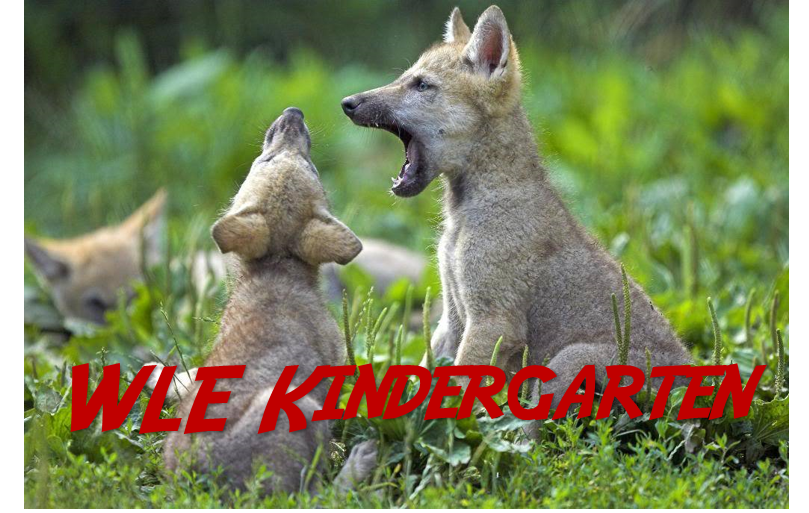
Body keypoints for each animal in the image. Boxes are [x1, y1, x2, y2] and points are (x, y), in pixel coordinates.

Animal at [160, 107, 376, 494]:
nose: (294, 113)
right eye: (266, 160)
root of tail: (199, 483)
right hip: (300, 411)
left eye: (308, 165)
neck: (277, 266)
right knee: (317, 494)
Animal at [342, 6, 690, 404]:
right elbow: (430, 372)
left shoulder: (493, 321)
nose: (347, 103)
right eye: (405, 77)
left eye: (422, 85)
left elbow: (459, 388)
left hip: (569, 359)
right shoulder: (452, 317)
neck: (464, 215)